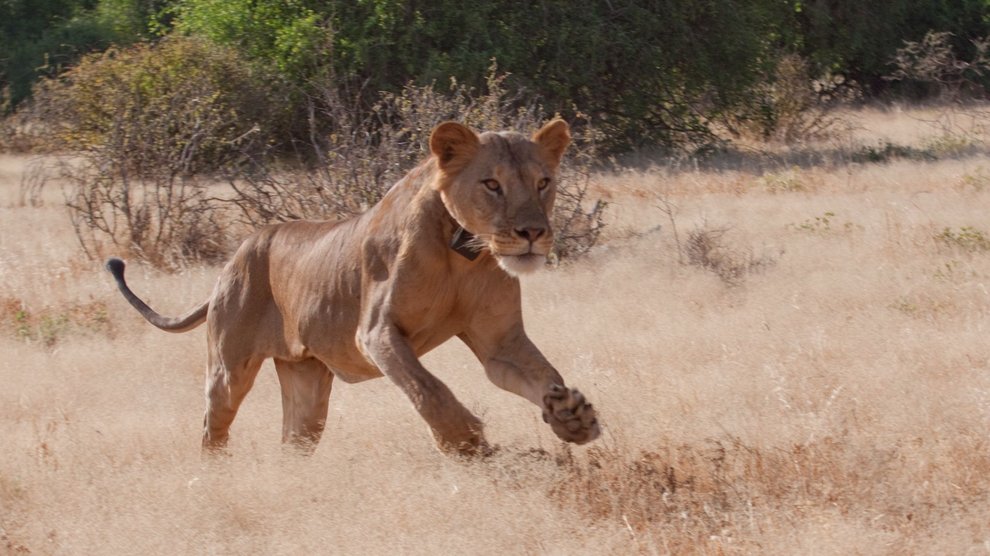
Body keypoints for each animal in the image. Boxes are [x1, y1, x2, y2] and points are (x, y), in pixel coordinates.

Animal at [106, 119, 600, 456]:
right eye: (492, 184)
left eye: (543, 182)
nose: (533, 233)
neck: (464, 253)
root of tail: (236, 256)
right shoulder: (376, 332)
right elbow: (429, 388)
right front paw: (467, 441)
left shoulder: (500, 342)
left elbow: (542, 373)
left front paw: (572, 416)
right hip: (229, 369)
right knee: (213, 426)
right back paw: (216, 473)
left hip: (305, 382)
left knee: (292, 441)